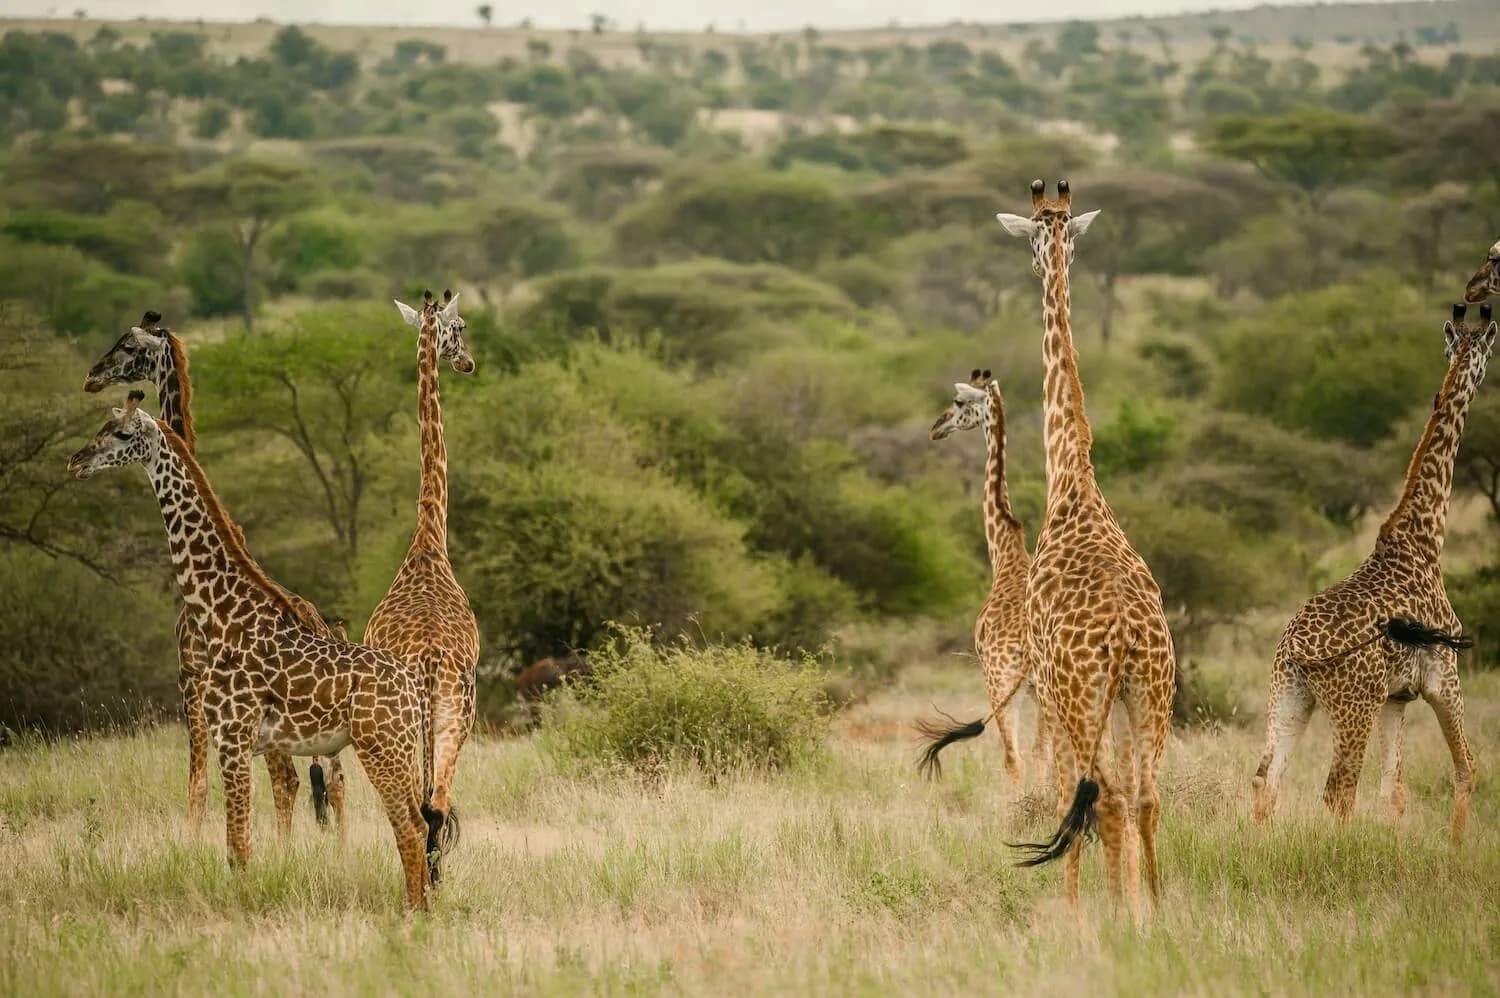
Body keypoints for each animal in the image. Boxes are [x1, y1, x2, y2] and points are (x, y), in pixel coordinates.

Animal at [67, 391, 431, 909]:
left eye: (119, 433)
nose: (76, 461)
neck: (221, 615)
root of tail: (414, 690)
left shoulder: (233, 738)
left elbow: (238, 847)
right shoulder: (239, 741)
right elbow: (239, 843)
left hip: (381, 747)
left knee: (408, 827)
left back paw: (412, 911)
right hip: (397, 749)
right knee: (418, 823)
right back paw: (424, 906)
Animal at [83, 311, 347, 836]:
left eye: (127, 346)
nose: (91, 376)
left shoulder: (193, 679)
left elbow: (200, 784)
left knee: (291, 781)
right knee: (329, 781)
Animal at [915, 368, 1049, 783]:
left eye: (958, 402)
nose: (936, 428)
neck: (1005, 554)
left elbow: (1019, 758)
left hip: (1004, 685)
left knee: (1016, 758)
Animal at [991, 179, 1177, 914]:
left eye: (1034, 241)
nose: (1039, 264)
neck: (1072, 477)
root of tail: (1126, 636)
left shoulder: (1044, 682)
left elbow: (1065, 795)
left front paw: (1072, 909)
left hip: (1085, 696)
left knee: (1107, 799)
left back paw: (1115, 912)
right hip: (1151, 694)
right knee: (1145, 797)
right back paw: (1155, 909)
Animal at [1252, 303, 1493, 842]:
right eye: (1489, 351)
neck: (1424, 540)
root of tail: (1294, 649)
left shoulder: (1396, 698)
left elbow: (1395, 792)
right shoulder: (1444, 674)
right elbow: (1466, 767)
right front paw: (1457, 846)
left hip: (1288, 694)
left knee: (1266, 778)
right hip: (1352, 705)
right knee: (1338, 789)